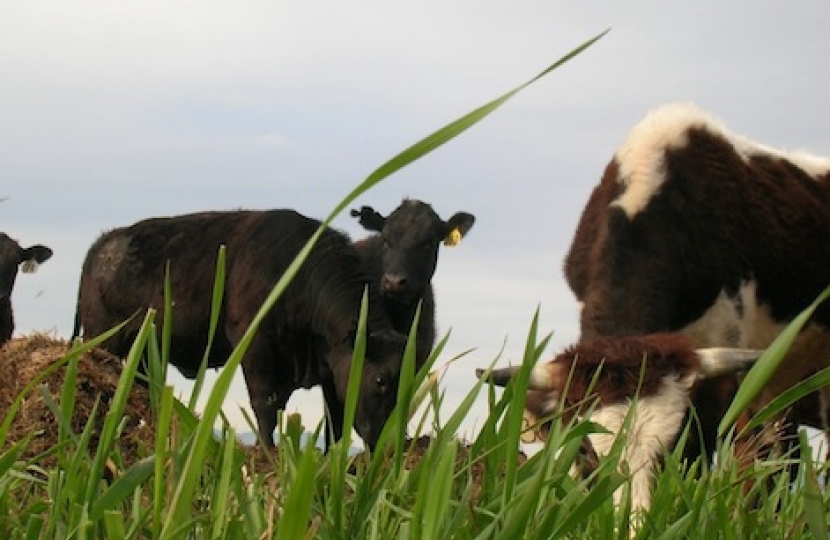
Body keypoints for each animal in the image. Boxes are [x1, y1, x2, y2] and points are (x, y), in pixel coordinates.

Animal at [71, 209, 408, 448]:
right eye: (381, 381)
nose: (389, 441)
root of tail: (103, 244)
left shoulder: (330, 369)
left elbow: (335, 421)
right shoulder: (256, 346)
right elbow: (265, 406)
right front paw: (268, 452)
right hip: (103, 338)